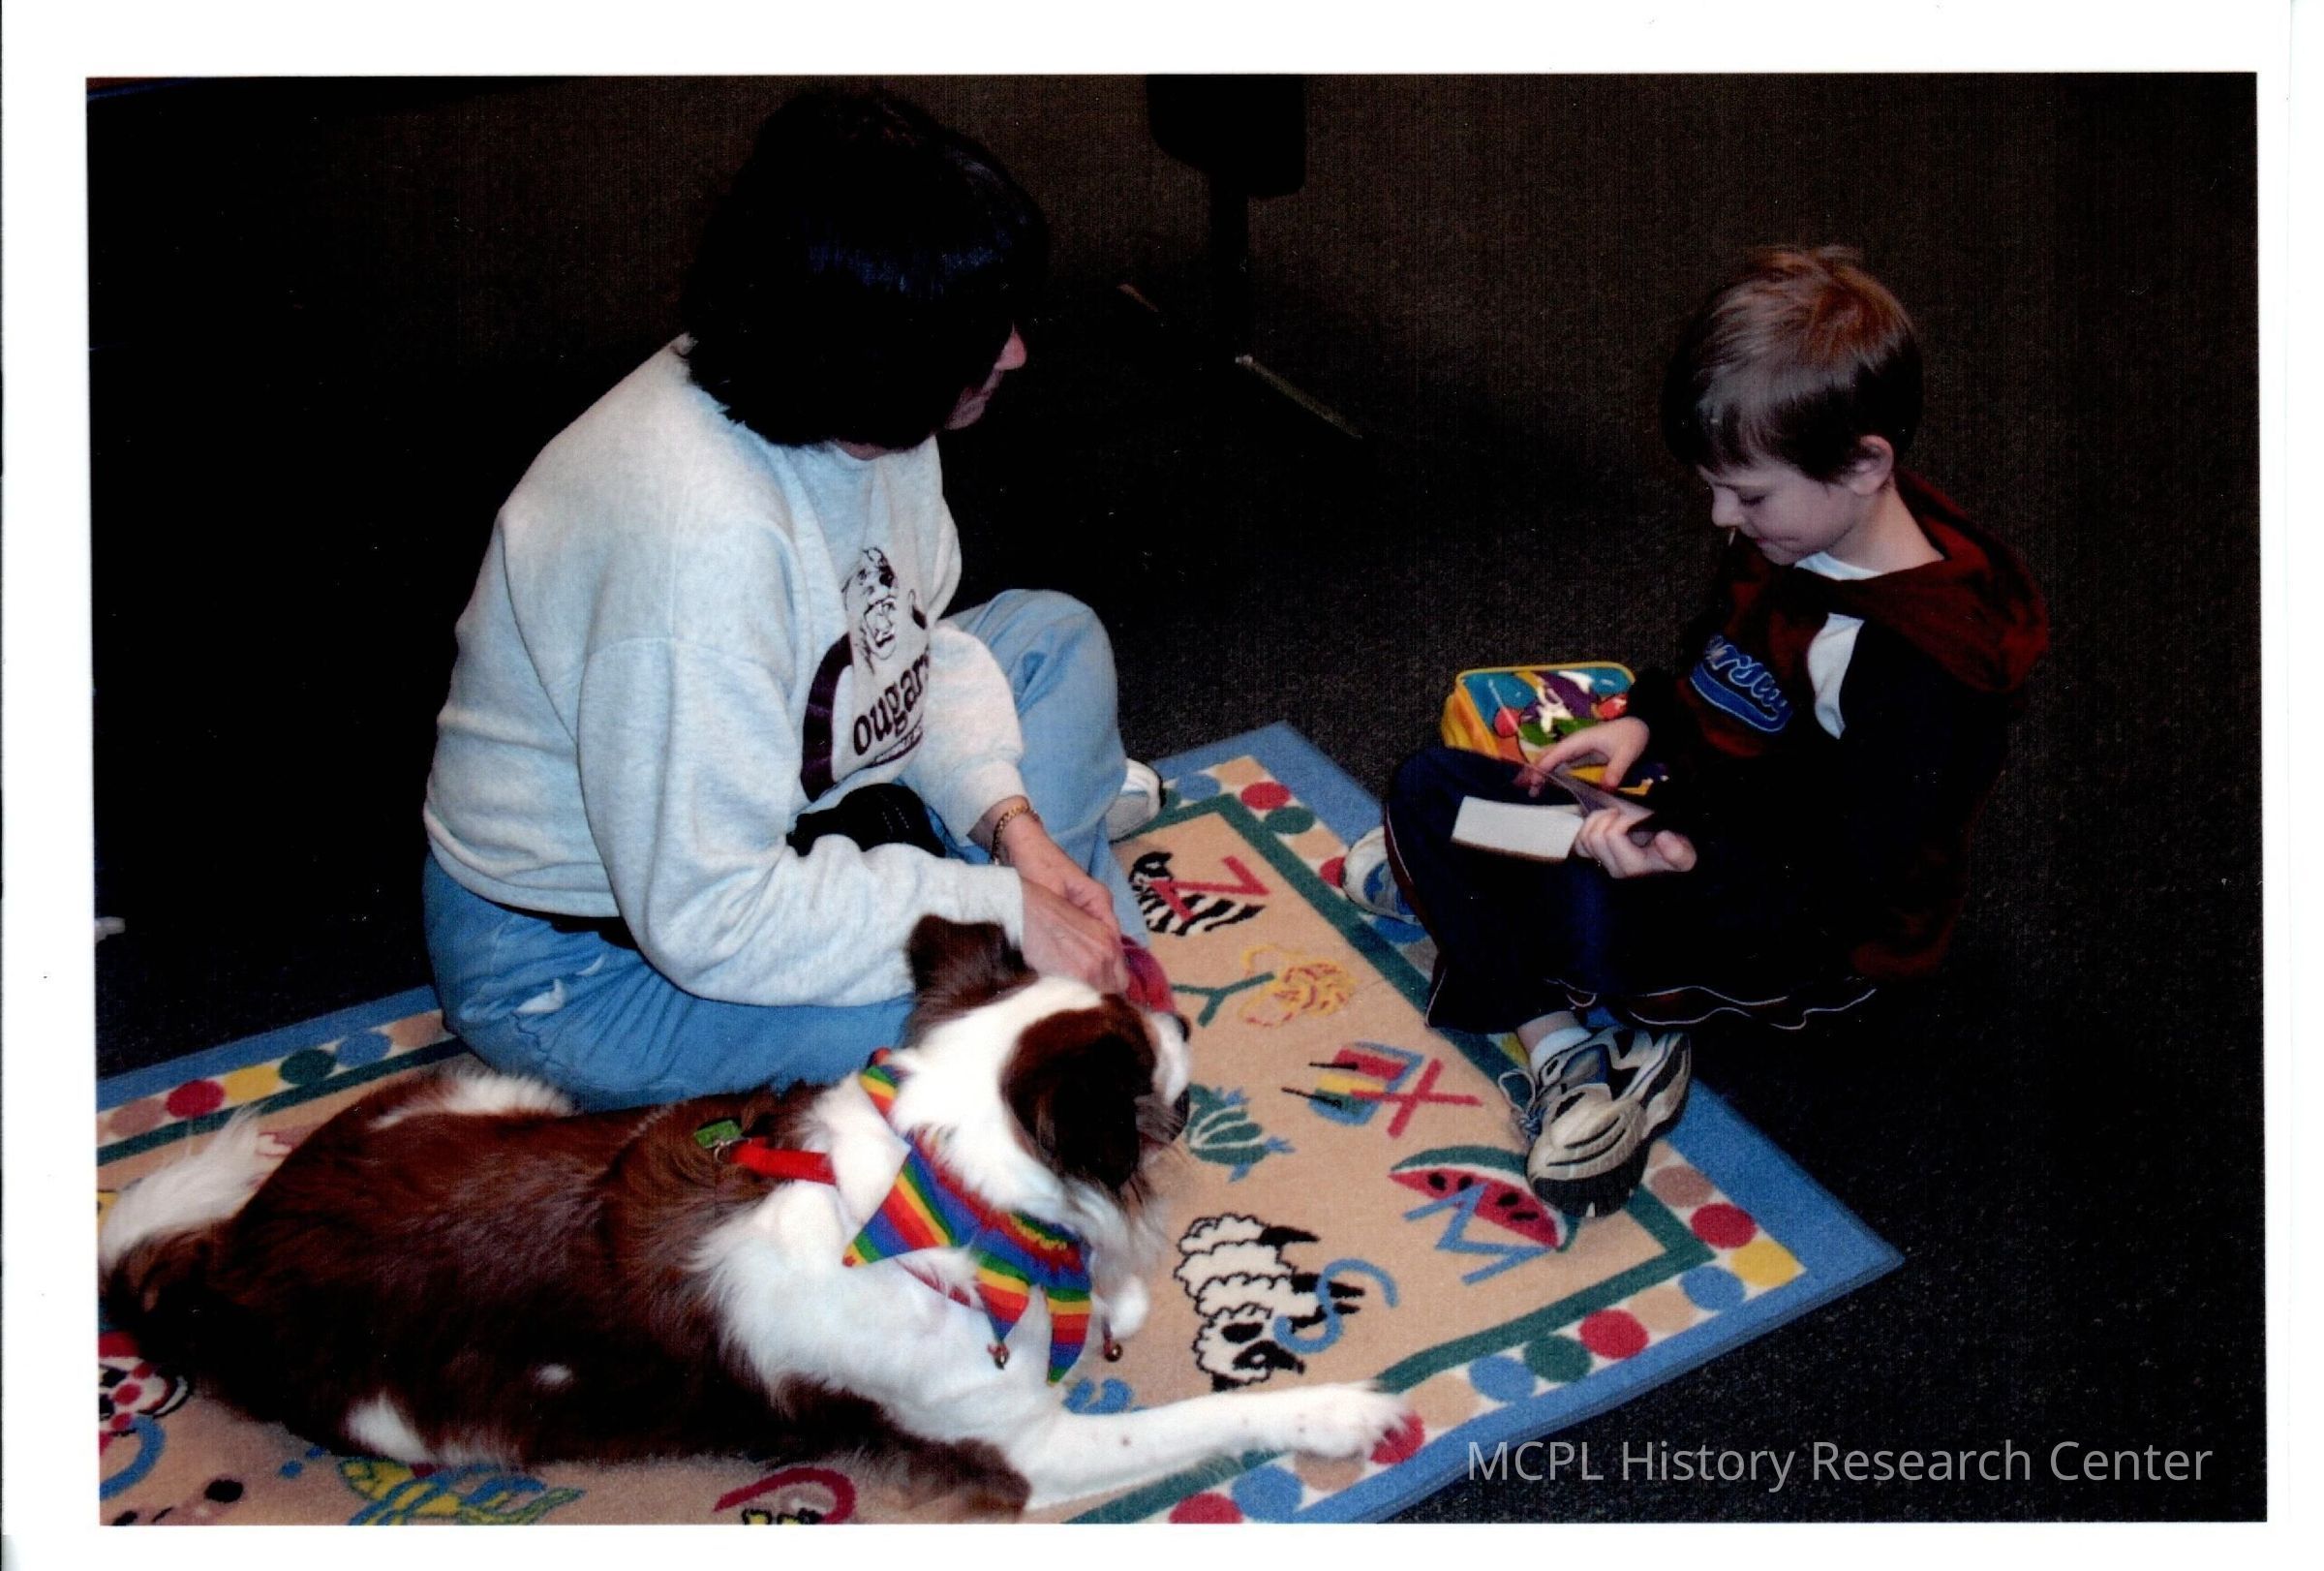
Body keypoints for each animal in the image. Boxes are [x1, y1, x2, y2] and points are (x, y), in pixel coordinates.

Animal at [99, 916, 1411, 1514]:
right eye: (1140, 1050)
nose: (1181, 1011)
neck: (936, 1197)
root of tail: (231, 1267)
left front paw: (1115, 1291)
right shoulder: (1023, 1451)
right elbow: (1200, 1416)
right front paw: (1343, 1412)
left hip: (493, 1094)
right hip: (428, 1415)